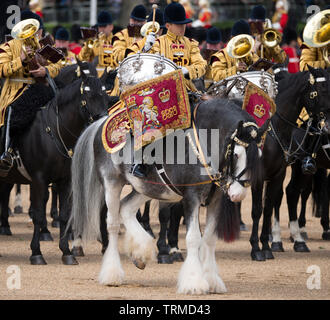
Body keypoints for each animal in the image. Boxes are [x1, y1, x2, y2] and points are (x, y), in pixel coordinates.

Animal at [0, 60, 109, 264]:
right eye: (87, 94)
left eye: (105, 94)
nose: (102, 122)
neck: (56, 132)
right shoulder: (38, 179)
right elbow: (38, 213)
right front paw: (36, 252)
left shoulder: (66, 180)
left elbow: (65, 214)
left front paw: (66, 252)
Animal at [69, 98, 268, 296]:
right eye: (236, 154)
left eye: (259, 155)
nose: (238, 193)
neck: (204, 142)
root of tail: (100, 123)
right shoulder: (191, 198)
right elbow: (193, 238)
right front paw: (194, 282)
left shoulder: (216, 199)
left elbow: (210, 238)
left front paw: (211, 280)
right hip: (112, 183)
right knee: (112, 224)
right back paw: (112, 274)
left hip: (147, 188)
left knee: (126, 208)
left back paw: (141, 253)